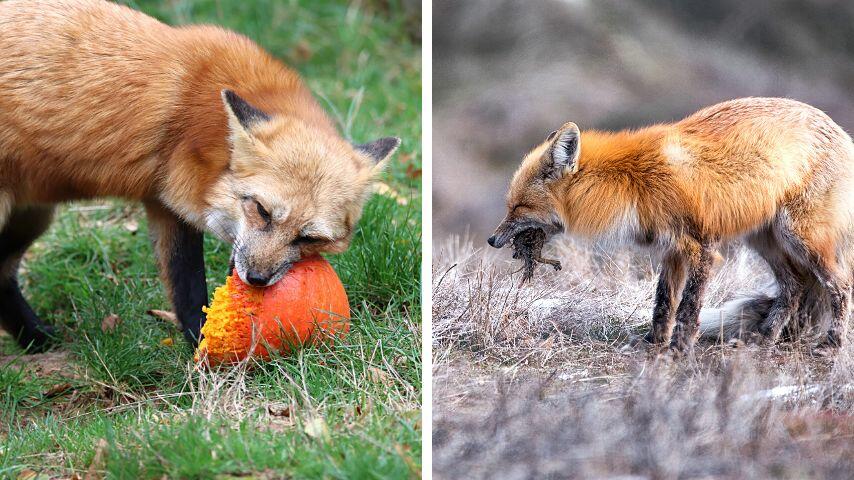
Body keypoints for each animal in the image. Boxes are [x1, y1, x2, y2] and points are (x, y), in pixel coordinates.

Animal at [0, 0, 402, 352]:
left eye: (309, 238)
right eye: (262, 211)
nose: (257, 279)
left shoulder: (165, 205)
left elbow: (186, 290)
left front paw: (203, 348)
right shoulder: (176, 200)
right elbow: (190, 285)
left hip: (31, 217)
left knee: (1, 275)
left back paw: (34, 338)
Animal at [492, 97, 854, 354]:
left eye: (519, 207)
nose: (492, 240)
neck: (633, 182)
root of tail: (842, 133)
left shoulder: (700, 247)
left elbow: (689, 308)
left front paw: (679, 350)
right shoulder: (672, 249)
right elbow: (663, 302)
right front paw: (653, 344)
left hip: (801, 238)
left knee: (841, 285)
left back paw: (831, 345)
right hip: (765, 240)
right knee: (793, 289)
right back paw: (764, 339)